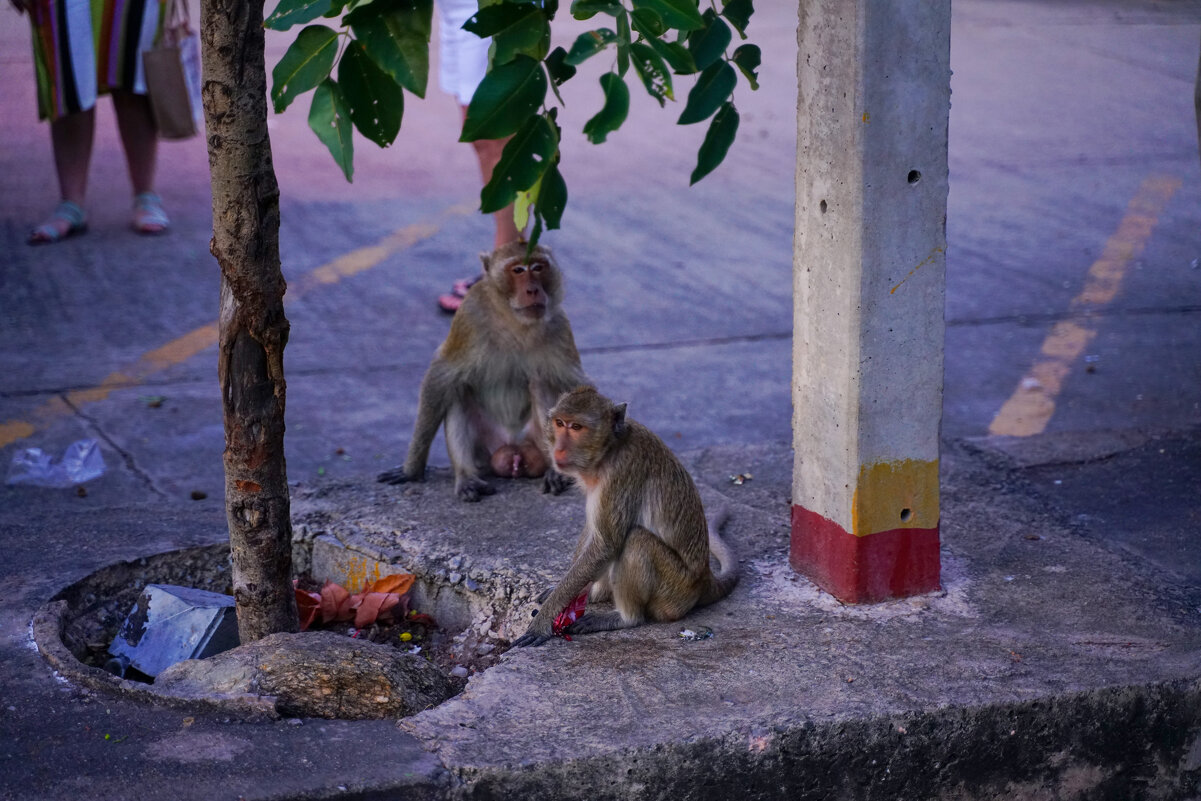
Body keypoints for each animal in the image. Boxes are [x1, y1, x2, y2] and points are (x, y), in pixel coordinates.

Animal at [372, 241, 583, 501]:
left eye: (538, 267)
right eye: (518, 270)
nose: (533, 290)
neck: (514, 321)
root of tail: (514, 448)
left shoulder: (559, 325)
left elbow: (576, 387)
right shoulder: (469, 316)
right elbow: (440, 376)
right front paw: (410, 470)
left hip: (537, 440)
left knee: (540, 383)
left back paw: (554, 471)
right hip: (486, 450)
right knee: (458, 391)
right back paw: (466, 476)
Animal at [511, 384, 735, 648]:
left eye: (576, 427)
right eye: (559, 423)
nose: (559, 448)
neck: (609, 449)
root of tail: (705, 577)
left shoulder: (620, 473)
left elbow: (607, 544)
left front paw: (544, 620)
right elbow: (596, 533)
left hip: (675, 592)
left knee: (635, 539)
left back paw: (626, 618)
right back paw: (596, 594)